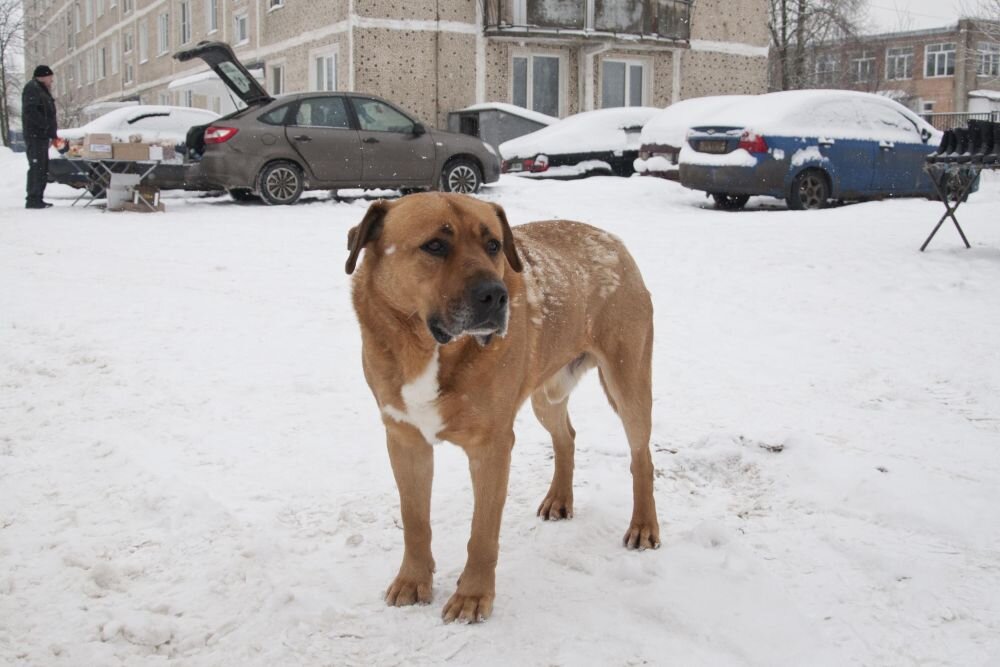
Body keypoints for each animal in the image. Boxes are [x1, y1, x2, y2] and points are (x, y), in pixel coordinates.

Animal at [348, 194, 660, 628]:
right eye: (434, 245)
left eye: (494, 245)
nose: (496, 296)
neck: (429, 349)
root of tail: (611, 239)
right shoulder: (405, 439)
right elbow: (414, 521)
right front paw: (412, 581)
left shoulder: (492, 447)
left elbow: (482, 532)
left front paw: (472, 597)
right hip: (545, 394)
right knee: (566, 437)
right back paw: (559, 498)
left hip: (627, 380)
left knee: (641, 456)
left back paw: (644, 525)